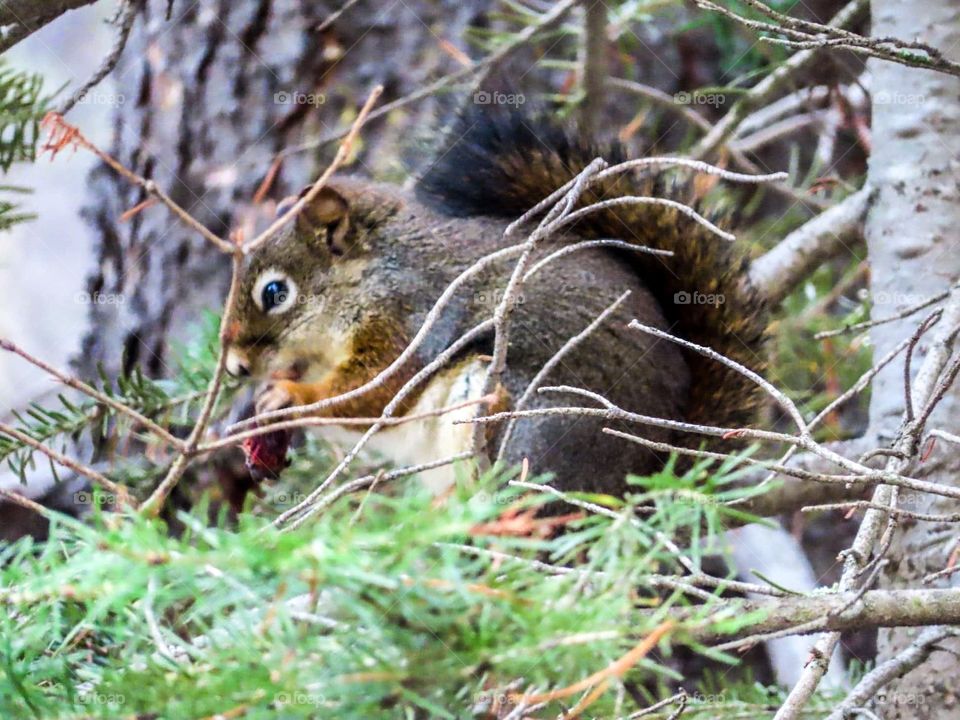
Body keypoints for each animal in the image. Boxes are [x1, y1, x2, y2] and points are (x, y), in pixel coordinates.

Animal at [224, 109, 767, 496]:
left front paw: (286, 398)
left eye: (275, 292)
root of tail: (651, 477)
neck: (372, 276)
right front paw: (252, 413)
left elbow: (373, 397)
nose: (233, 367)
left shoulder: (411, 322)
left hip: (538, 425)